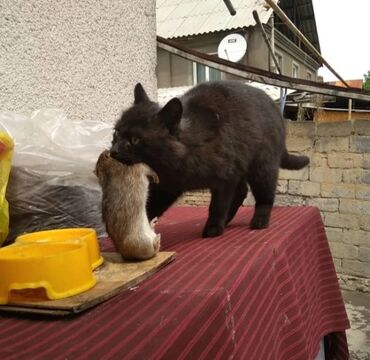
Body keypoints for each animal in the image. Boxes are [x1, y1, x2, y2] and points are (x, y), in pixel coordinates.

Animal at [112, 82, 310, 239]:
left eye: (135, 140)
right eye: (116, 132)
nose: (114, 151)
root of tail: (277, 112)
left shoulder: (225, 179)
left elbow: (217, 206)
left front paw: (213, 228)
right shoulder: (167, 186)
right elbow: (149, 207)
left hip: (262, 167)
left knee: (264, 195)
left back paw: (258, 221)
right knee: (241, 191)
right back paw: (228, 220)